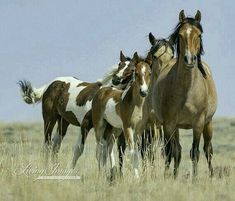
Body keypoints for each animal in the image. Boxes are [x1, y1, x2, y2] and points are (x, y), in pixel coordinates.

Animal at [151, 10, 218, 178]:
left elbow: (195, 152)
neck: (187, 91)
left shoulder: (198, 124)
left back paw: (211, 175)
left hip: (208, 123)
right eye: (180, 35)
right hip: (175, 128)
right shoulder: (169, 124)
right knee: (177, 150)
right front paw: (169, 178)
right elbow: (171, 152)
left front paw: (194, 179)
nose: (189, 59)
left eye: (199, 35)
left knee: (208, 150)